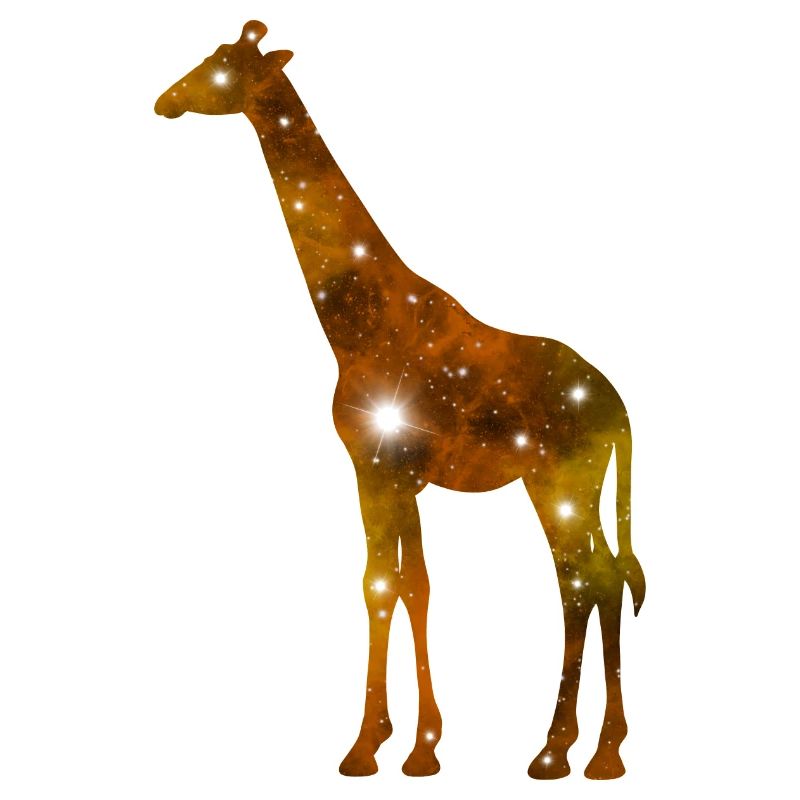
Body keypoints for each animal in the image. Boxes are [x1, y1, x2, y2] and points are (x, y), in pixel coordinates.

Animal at [155, 20, 646, 780]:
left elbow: (380, 584)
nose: (164, 101)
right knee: (598, 579)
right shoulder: (399, 475)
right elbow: (415, 584)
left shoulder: (374, 467)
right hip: (568, 483)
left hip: (559, 478)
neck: (359, 325)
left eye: (223, 67)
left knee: (588, 579)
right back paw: (583, 750)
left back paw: (574, 754)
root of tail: (618, 405)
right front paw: (418, 744)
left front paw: (368, 748)